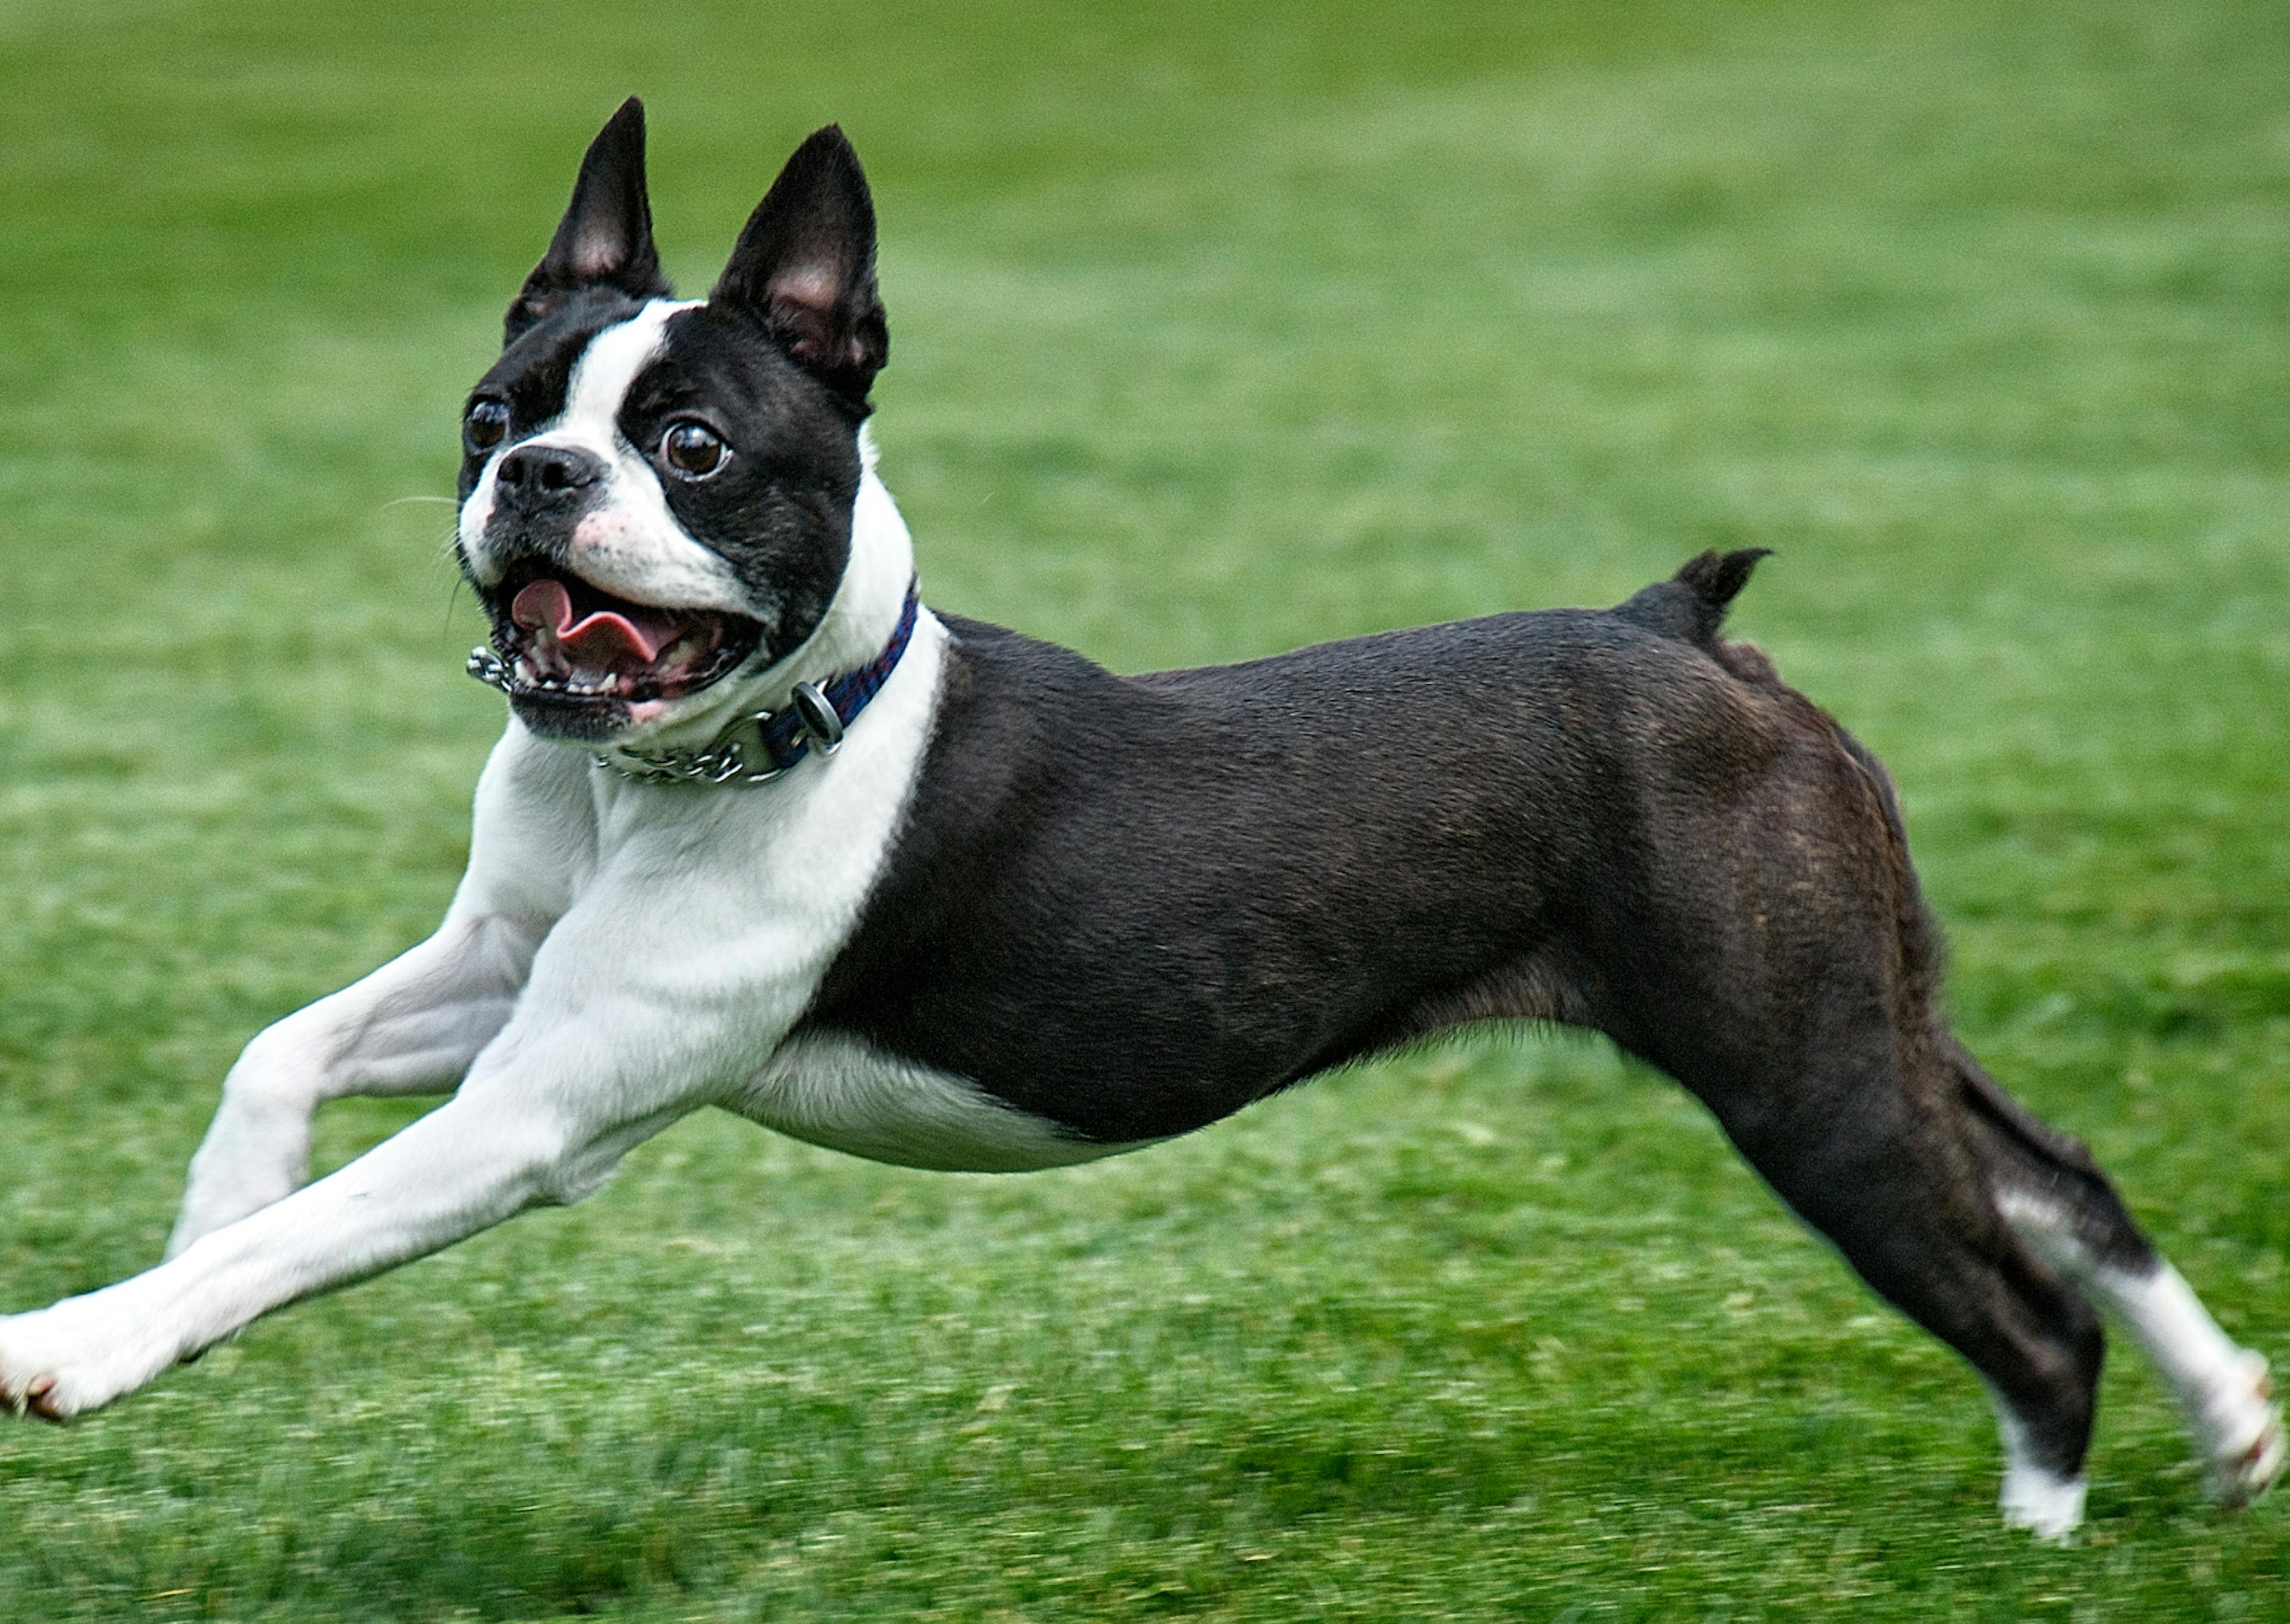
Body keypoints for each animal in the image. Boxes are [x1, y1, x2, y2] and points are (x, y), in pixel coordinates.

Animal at [0, 98, 2272, 1530]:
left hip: (1793, 1072)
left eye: (697, 448)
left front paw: (85, 1341)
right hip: (1849, 1008)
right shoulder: (499, 967)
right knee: (2061, 1179)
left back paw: (2044, 1520)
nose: (537, 479)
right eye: (493, 415)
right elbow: (277, 1057)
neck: (695, 762)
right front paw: (196, 1216)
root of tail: (1684, 634)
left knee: (2018, 1302)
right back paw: (2234, 1425)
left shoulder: (545, 1104)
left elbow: (314, 1230)